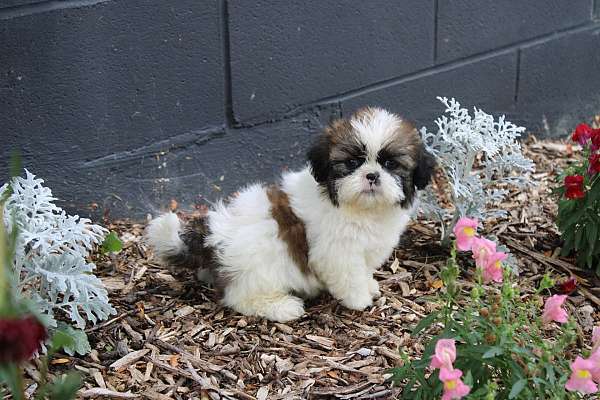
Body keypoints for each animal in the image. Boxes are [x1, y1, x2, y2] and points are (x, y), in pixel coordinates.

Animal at [145, 108, 436, 324]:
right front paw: (358, 299)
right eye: (352, 163)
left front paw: (369, 285)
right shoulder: (336, 252)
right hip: (259, 266)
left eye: (390, 164)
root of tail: (214, 233)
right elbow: (349, 275)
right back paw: (282, 307)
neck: (360, 208)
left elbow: (362, 269)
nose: (372, 175)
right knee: (239, 297)